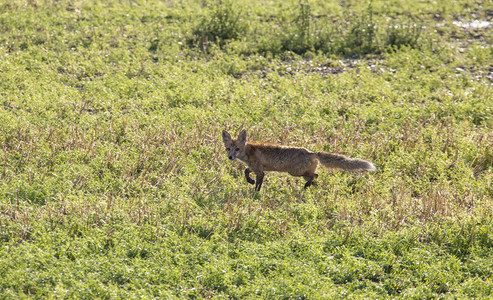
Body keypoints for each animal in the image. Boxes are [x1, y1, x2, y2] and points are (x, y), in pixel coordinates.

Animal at [221, 129, 374, 191]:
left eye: (237, 149)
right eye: (228, 148)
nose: (230, 157)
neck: (248, 152)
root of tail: (311, 152)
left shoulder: (260, 171)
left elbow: (257, 185)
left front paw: (255, 194)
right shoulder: (255, 168)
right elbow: (246, 172)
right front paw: (250, 181)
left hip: (295, 172)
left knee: (315, 175)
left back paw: (306, 187)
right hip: (302, 173)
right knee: (315, 178)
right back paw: (310, 189)